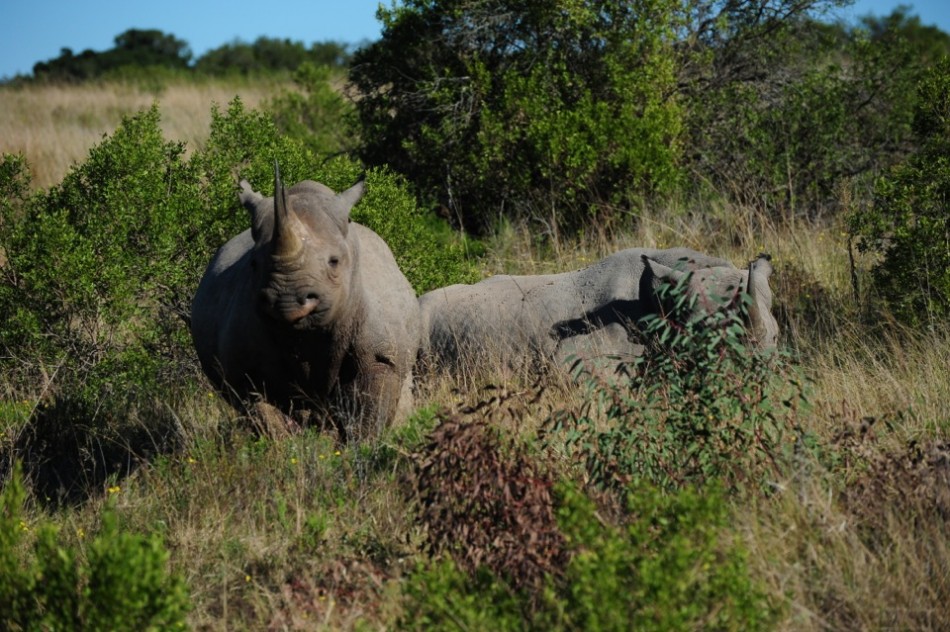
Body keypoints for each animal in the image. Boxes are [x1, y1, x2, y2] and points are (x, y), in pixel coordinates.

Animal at [191, 164, 421, 440]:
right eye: (254, 264)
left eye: (334, 262)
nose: (287, 302)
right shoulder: (244, 368)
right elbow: (266, 417)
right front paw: (283, 448)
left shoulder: (380, 354)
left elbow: (367, 417)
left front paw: (362, 446)